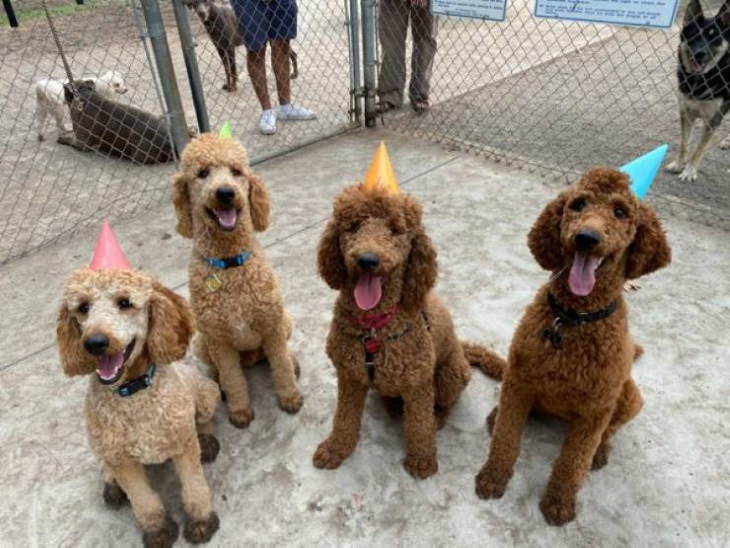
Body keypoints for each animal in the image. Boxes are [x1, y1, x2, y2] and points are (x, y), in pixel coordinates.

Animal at [664, 0, 728, 180]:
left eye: (715, 38)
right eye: (694, 36)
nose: (700, 54)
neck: (699, 81)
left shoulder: (712, 120)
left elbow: (699, 148)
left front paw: (689, 171)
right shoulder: (686, 113)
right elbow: (684, 143)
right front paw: (678, 164)